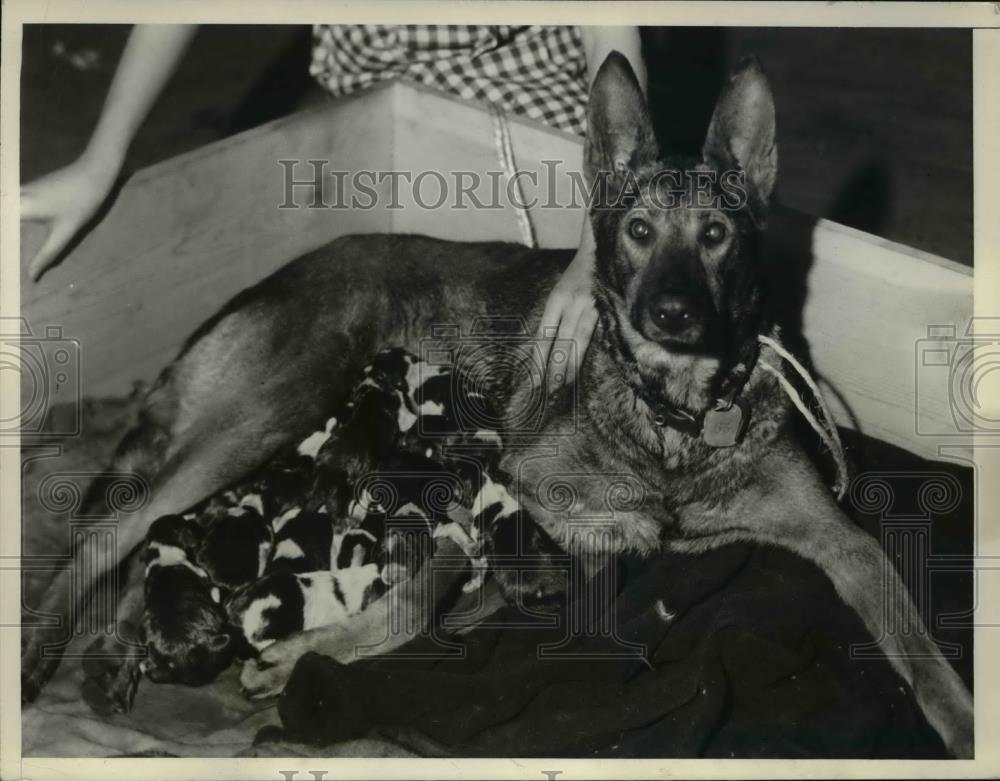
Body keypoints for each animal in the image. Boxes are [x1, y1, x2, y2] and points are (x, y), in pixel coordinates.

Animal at [21, 53, 976, 756]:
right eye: (638, 232)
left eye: (716, 235)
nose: (670, 315)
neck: (670, 419)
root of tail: (272, 281)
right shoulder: (501, 485)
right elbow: (411, 606)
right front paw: (302, 655)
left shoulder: (841, 541)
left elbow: (913, 637)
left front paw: (962, 720)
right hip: (272, 409)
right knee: (115, 530)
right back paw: (47, 645)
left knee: (151, 541)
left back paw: (120, 650)